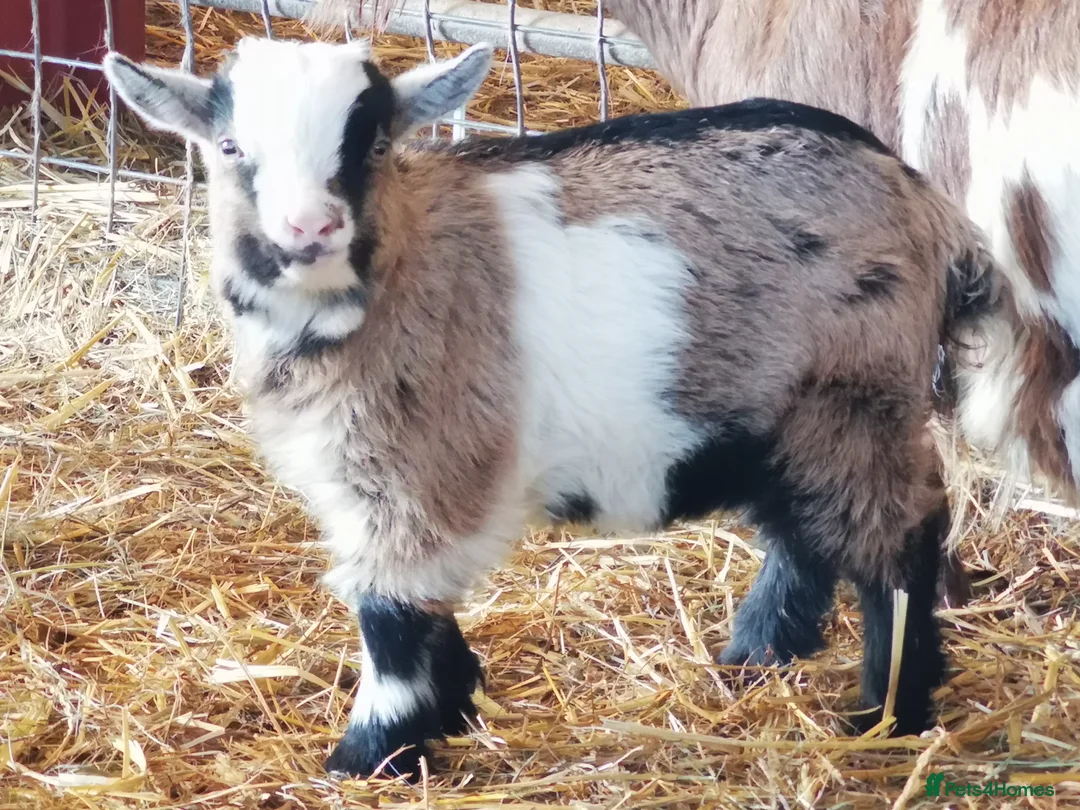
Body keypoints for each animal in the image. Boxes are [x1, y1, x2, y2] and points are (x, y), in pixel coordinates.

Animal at [104, 38, 999, 779]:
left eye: (375, 144)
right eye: (229, 148)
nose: (310, 228)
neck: (397, 273)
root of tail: (926, 206)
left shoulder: (418, 470)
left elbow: (390, 613)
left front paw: (370, 753)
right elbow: (421, 607)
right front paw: (454, 705)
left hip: (856, 402)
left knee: (899, 539)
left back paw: (887, 712)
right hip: (786, 413)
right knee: (803, 528)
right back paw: (756, 655)